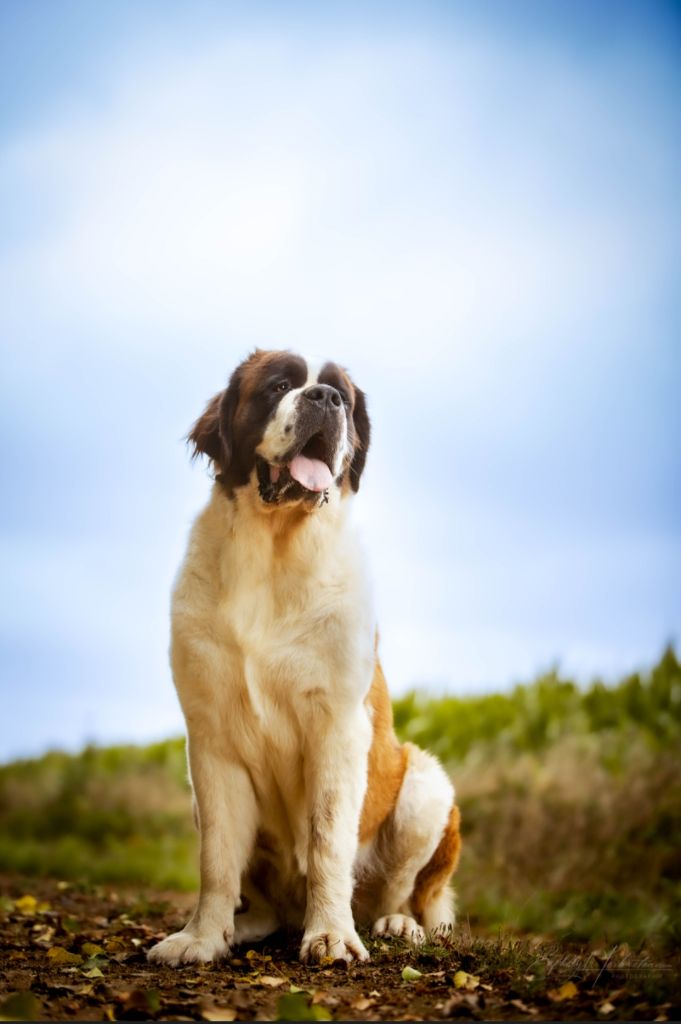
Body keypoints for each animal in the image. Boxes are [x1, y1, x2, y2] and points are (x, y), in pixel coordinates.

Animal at [146, 348, 458, 962]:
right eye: (278, 386)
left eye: (344, 397)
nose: (325, 398)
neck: (274, 552)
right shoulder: (209, 741)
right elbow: (217, 858)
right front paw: (200, 938)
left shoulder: (337, 728)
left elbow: (328, 840)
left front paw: (333, 935)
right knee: (260, 896)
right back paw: (243, 926)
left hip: (426, 788)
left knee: (407, 891)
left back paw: (394, 924)